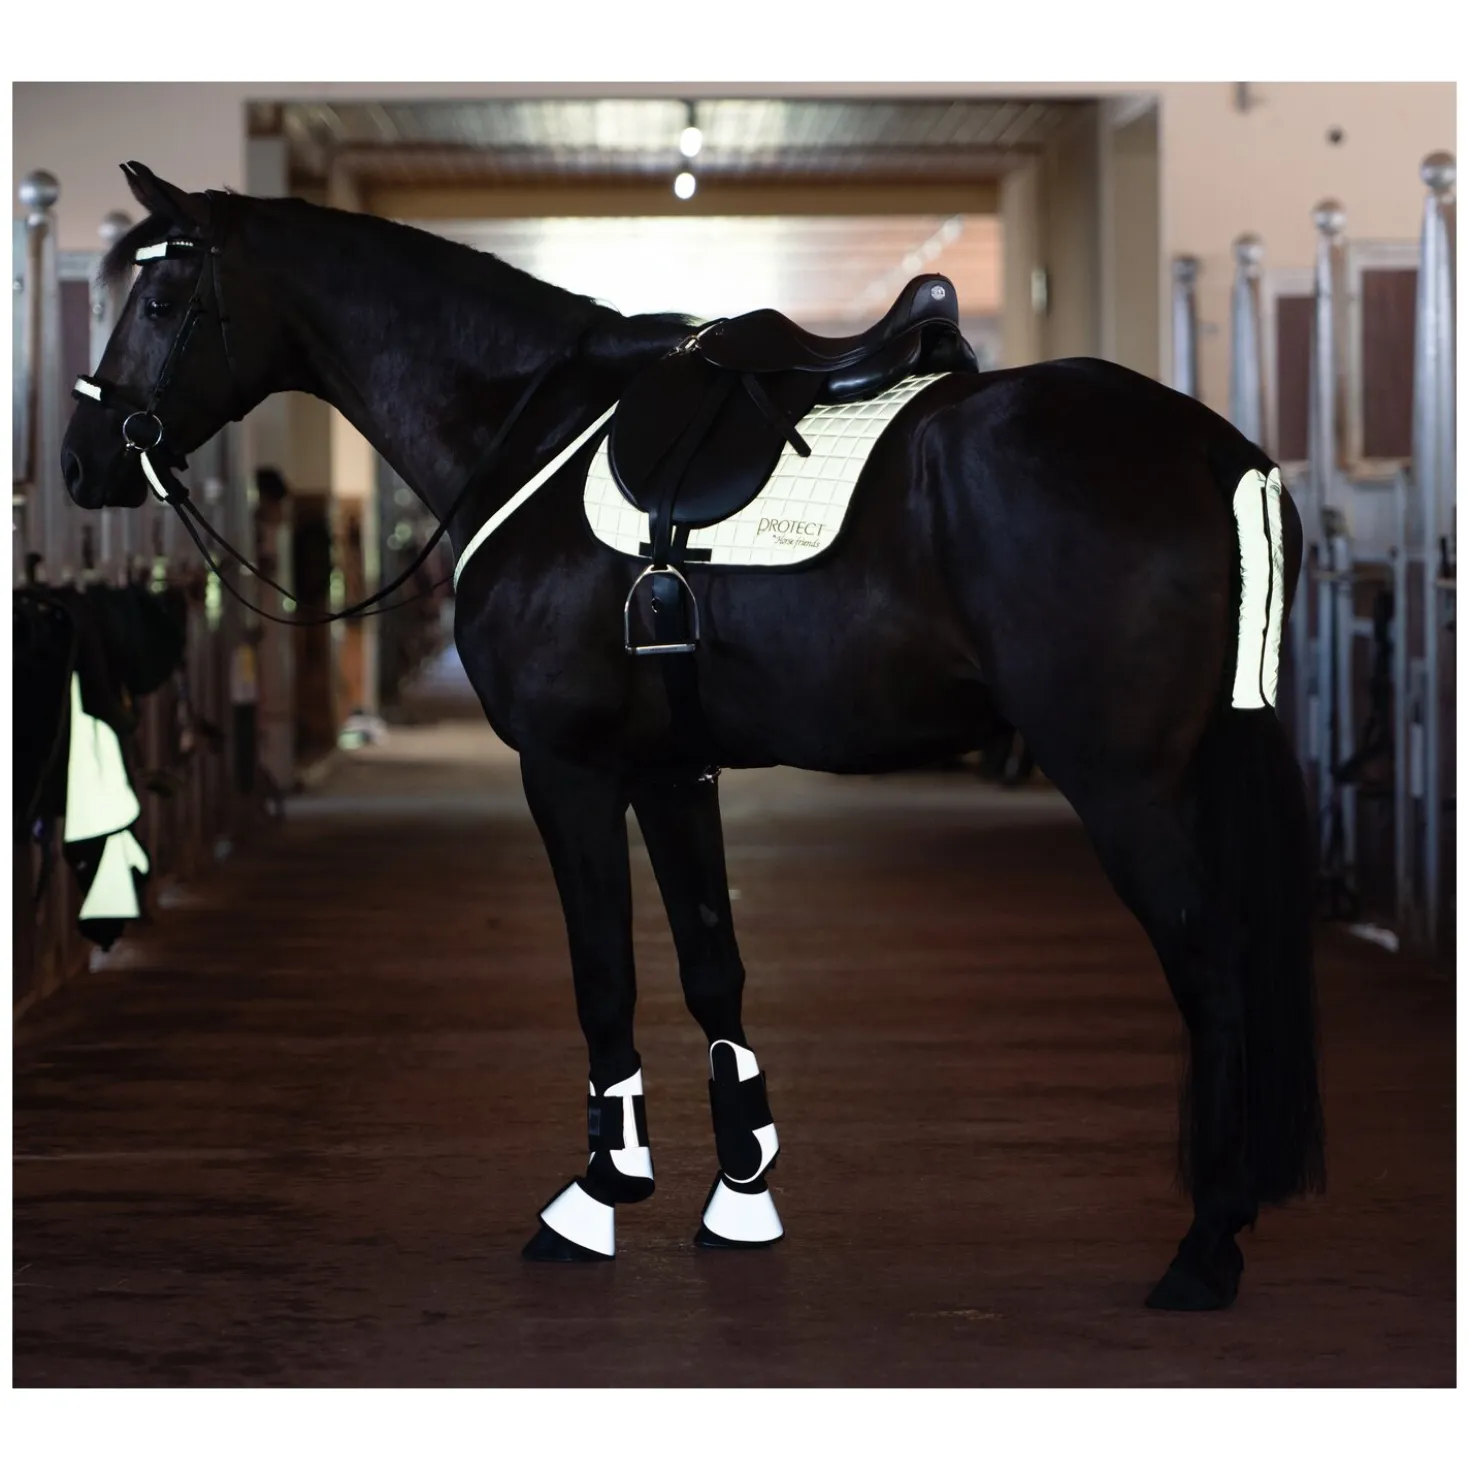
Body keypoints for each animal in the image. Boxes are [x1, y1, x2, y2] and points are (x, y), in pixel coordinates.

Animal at [61, 162, 1324, 1312]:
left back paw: (1207, 1244)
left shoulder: (567, 770)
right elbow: (713, 966)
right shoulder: (674, 769)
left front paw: (596, 1194)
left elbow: (604, 974)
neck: (529, 426)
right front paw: (742, 1192)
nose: (82, 458)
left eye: (161, 299)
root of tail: (1211, 447)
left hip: (1126, 783)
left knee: (1212, 959)